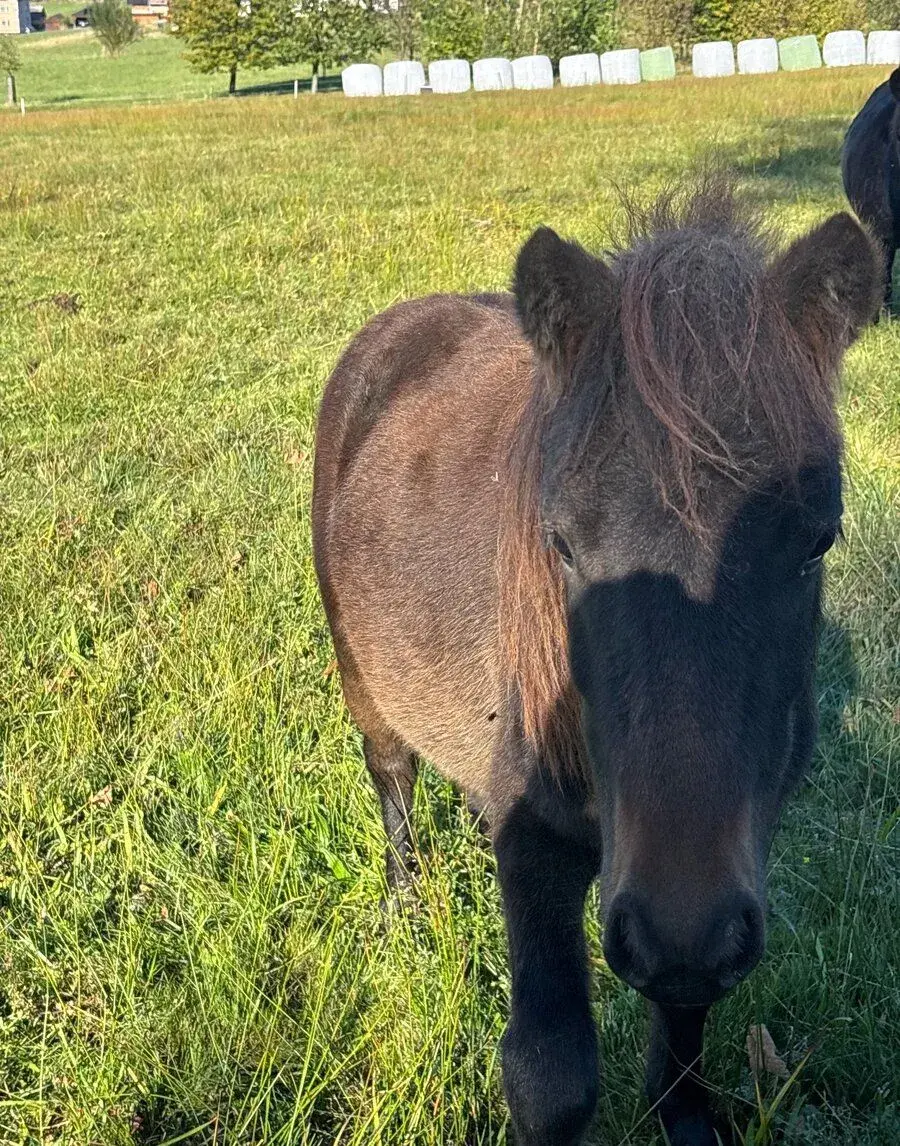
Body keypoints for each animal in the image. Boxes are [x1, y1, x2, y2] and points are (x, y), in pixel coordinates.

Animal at [311, 182, 879, 1146]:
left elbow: (684, 1022)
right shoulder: (543, 858)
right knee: (393, 786)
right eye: (565, 545)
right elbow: (551, 1074)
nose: (678, 923)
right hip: (366, 686)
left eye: (817, 541)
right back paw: (407, 911)